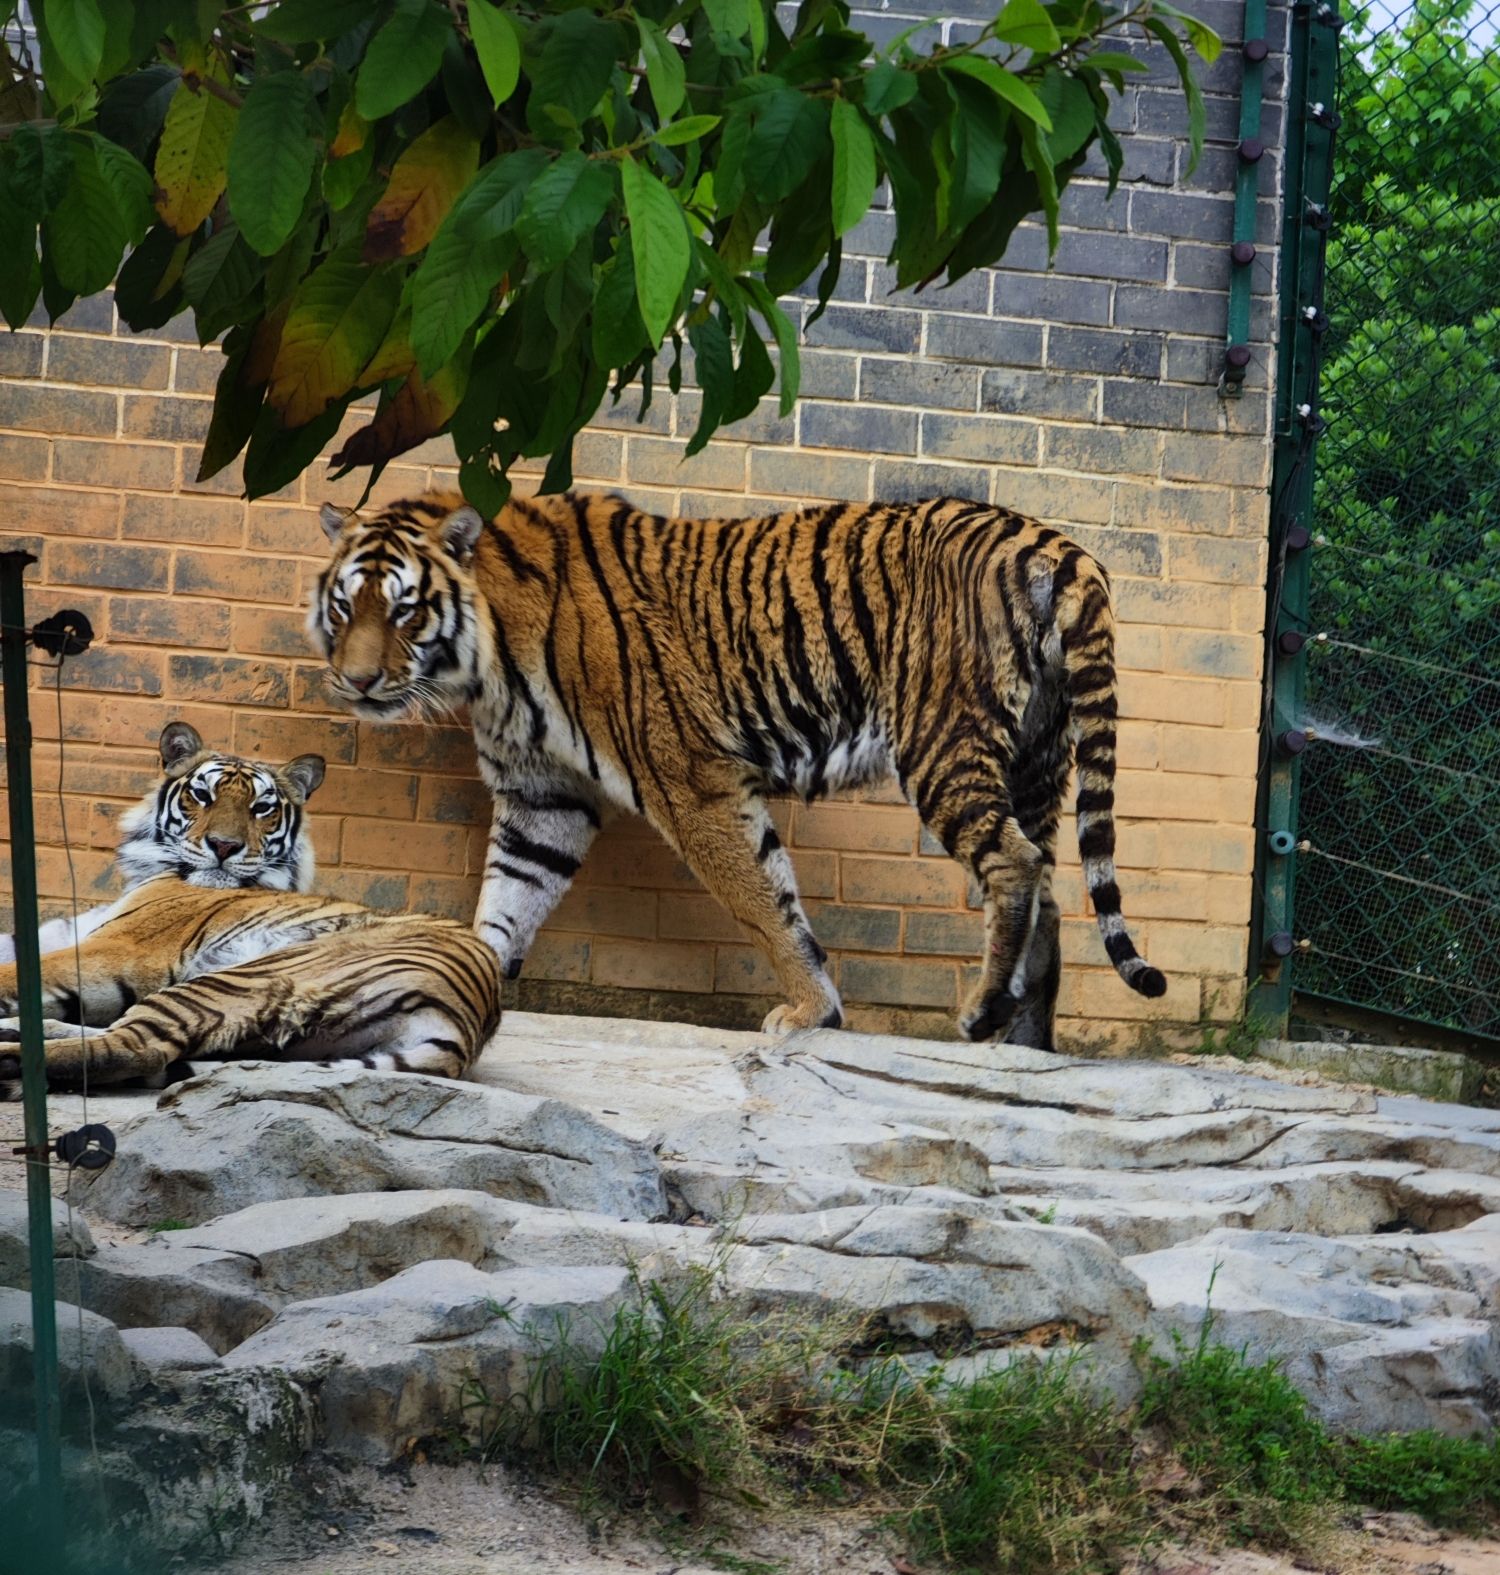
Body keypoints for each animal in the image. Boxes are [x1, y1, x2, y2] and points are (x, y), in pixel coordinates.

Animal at [0, 723, 500, 1092]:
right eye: (202, 795)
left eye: (262, 808)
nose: (224, 846)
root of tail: (466, 1025)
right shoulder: (67, 931)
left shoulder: (119, 947)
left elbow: (15, 972)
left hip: (241, 977)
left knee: (136, 1046)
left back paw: (9, 1058)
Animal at [310, 490, 1166, 1051]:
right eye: (345, 605)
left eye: (405, 608)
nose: (355, 681)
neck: (488, 664)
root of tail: (1050, 541)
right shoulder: (541, 798)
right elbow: (506, 903)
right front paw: (468, 983)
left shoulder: (691, 782)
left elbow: (763, 902)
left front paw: (812, 1013)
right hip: (1036, 755)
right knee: (1049, 879)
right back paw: (1027, 1040)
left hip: (942, 737)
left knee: (1013, 862)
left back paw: (983, 1012)